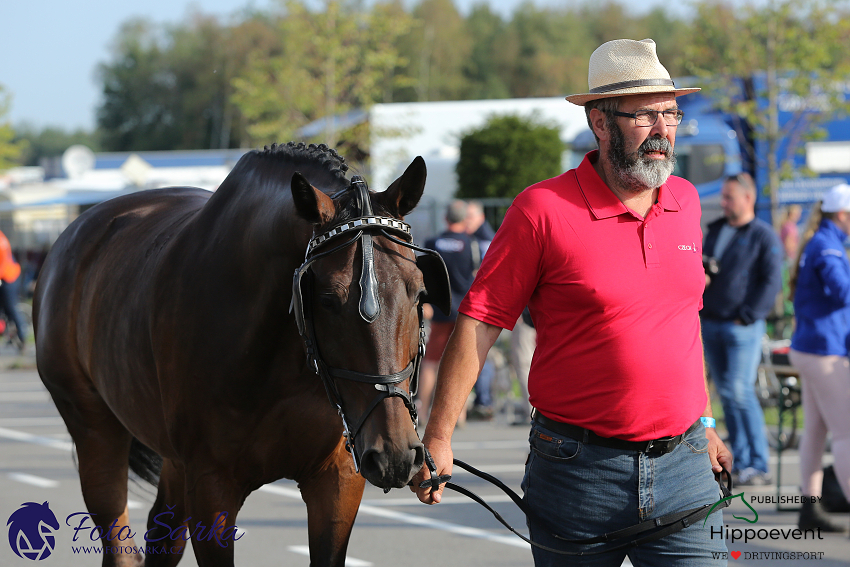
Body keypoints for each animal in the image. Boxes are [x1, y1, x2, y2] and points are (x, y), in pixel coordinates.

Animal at [34, 143, 444, 567]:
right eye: (327, 299)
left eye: (419, 291)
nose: (395, 456)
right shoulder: (210, 485)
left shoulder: (337, 480)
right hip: (96, 432)